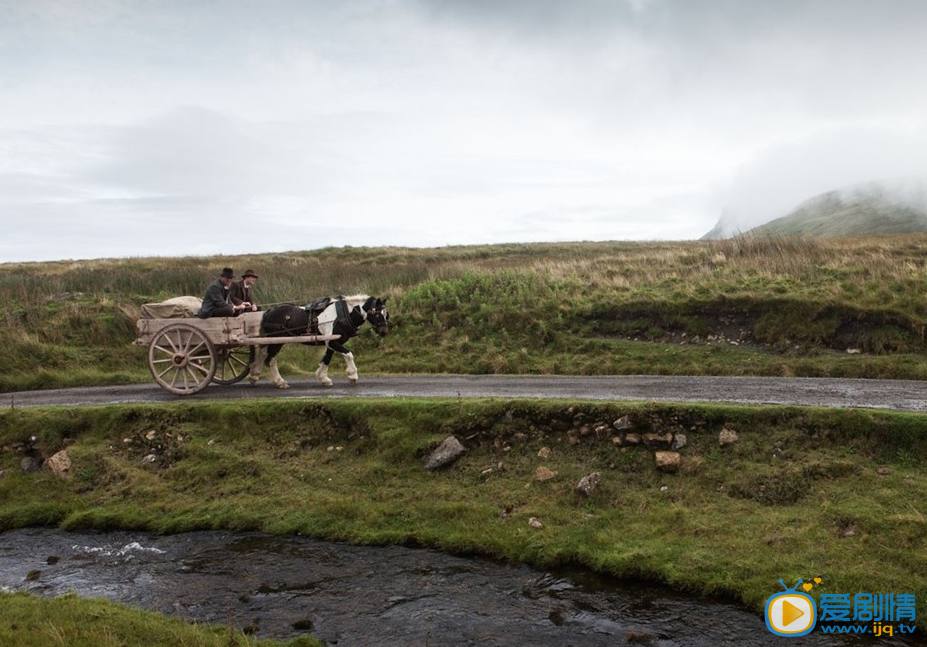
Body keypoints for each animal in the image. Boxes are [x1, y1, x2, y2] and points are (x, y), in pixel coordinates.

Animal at [246, 294, 388, 390]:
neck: (342, 314)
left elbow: (327, 359)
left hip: (271, 340)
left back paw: (254, 376)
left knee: (263, 354)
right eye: (377, 314)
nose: (384, 332)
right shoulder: (332, 342)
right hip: (277, 341)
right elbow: (348, 354)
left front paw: (323, 378)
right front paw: (352, 375)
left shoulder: (333, 342)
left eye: (386, 314)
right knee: (270, 360)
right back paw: (280, 382)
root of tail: (269, 312)